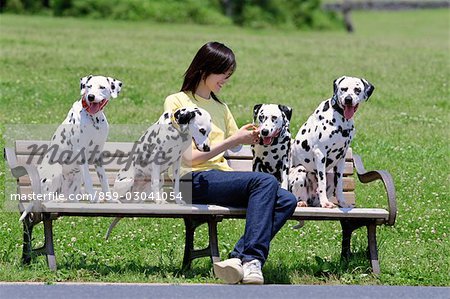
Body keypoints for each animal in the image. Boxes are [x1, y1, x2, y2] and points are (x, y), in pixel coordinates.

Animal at [290, 76, 374, 210]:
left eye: (357, 90)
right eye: (343, 89)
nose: (348, 99)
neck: (341, 120)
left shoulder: (341, 158)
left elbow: (339, 185)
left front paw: (342, 202)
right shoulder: (320, 154)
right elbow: (322, 182)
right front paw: (325, 202)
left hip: (329, 175)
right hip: (300, 169)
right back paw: (302, 202)